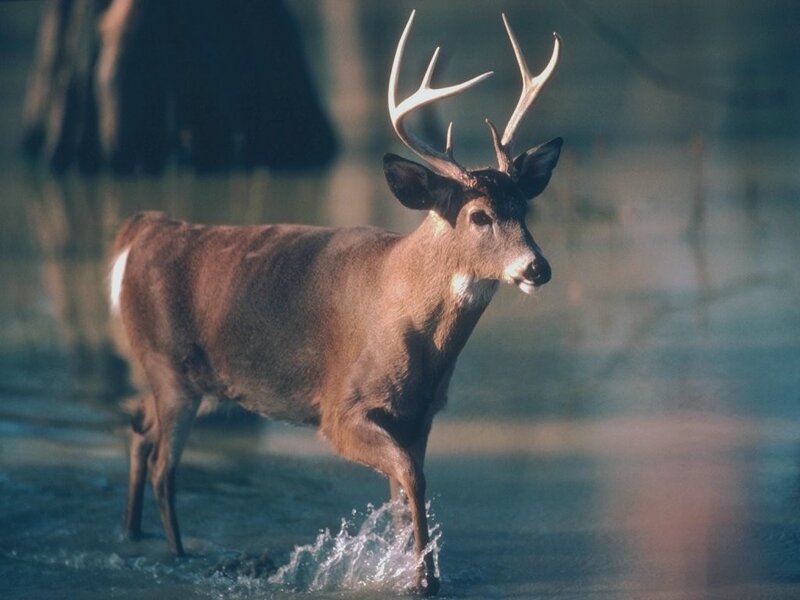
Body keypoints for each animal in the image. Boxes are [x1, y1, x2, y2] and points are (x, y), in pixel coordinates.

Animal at [109, 11, 561, 596]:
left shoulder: (420, 414)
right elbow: (412, 479)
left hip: (190, 381)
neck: (408, 320)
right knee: (163, 465)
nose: (537, 267)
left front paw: (414, 570)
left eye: (523, 206)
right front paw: (421, 579)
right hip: (167, 368)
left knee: (139, 432)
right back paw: (179, 555)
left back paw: (132, 535)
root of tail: (142, 230)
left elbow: (405, 493)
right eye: (479, 215)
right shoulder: (338, 409)